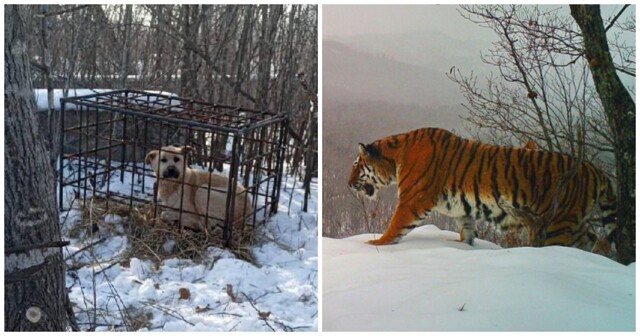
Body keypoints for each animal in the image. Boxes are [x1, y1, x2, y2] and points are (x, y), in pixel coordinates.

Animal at [348, 127, 616, 253]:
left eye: (356, 165)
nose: (348, 184)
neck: (396, 158)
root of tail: (594, 169)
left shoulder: (412, 200)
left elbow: (395, 226)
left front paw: (375, 244)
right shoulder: (462, 208)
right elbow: (467, 232)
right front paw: (465, 247)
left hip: (558, 222)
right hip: (573, 220)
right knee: (591, 236)